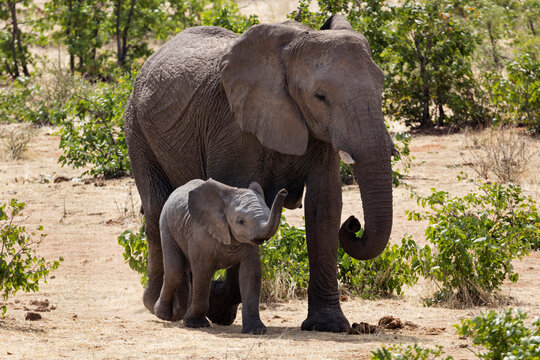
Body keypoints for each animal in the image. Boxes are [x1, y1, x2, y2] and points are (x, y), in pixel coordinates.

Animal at [153, 179, 286, 334]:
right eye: (240, 221)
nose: (284, 191)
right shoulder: (200, 234)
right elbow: (203, 273)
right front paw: (196, 324)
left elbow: (251, 274)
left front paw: (256, 331)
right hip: (166, 226)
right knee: (175, 272)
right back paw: (163, 315)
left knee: (189, 274)